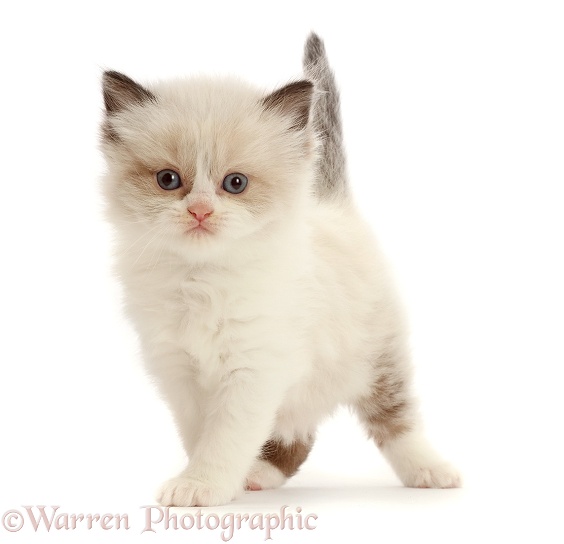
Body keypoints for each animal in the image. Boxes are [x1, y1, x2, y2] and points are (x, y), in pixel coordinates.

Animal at [99, 33, 460, 506]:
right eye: (167, 180)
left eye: (235, 183)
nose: (200, 211)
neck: (203, 280)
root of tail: (333, 205)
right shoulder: (181, 375)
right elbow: (201, 435)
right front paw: (219, 482)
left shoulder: (254, 371)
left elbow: (225, 438)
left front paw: (202, 485)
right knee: (298, 436)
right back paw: (260, 474)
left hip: (380, 357)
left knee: (397, 420)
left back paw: (431, 472)